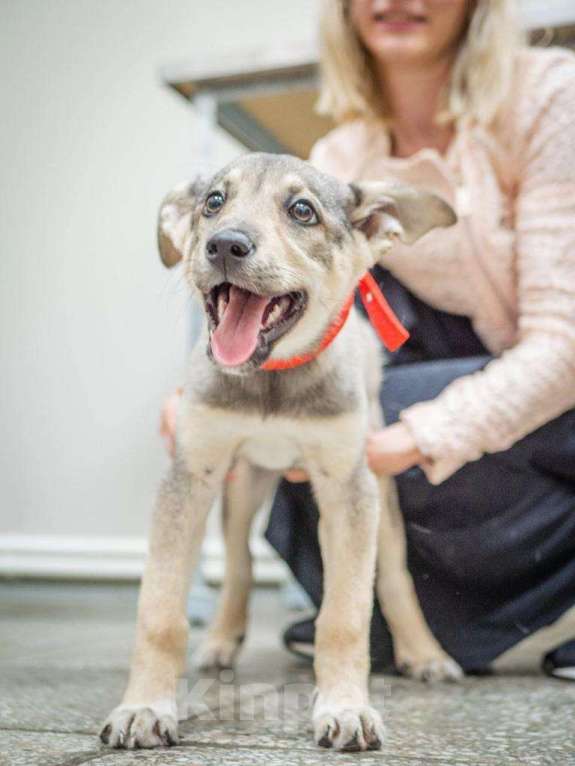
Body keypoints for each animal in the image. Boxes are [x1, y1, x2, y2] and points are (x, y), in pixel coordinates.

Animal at [100, 154, 464, 756]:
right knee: (240, 562)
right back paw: (221, 640)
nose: (225, 245)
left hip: (378, 490)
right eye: (213, 202)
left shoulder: (346, 486)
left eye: (302, 211)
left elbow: (345, 613)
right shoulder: (189, 474)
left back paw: (424, 654)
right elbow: (160, 610)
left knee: (393, 573)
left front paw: (345, 707)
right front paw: (145, 706)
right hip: (241, 484)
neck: (272, 377)